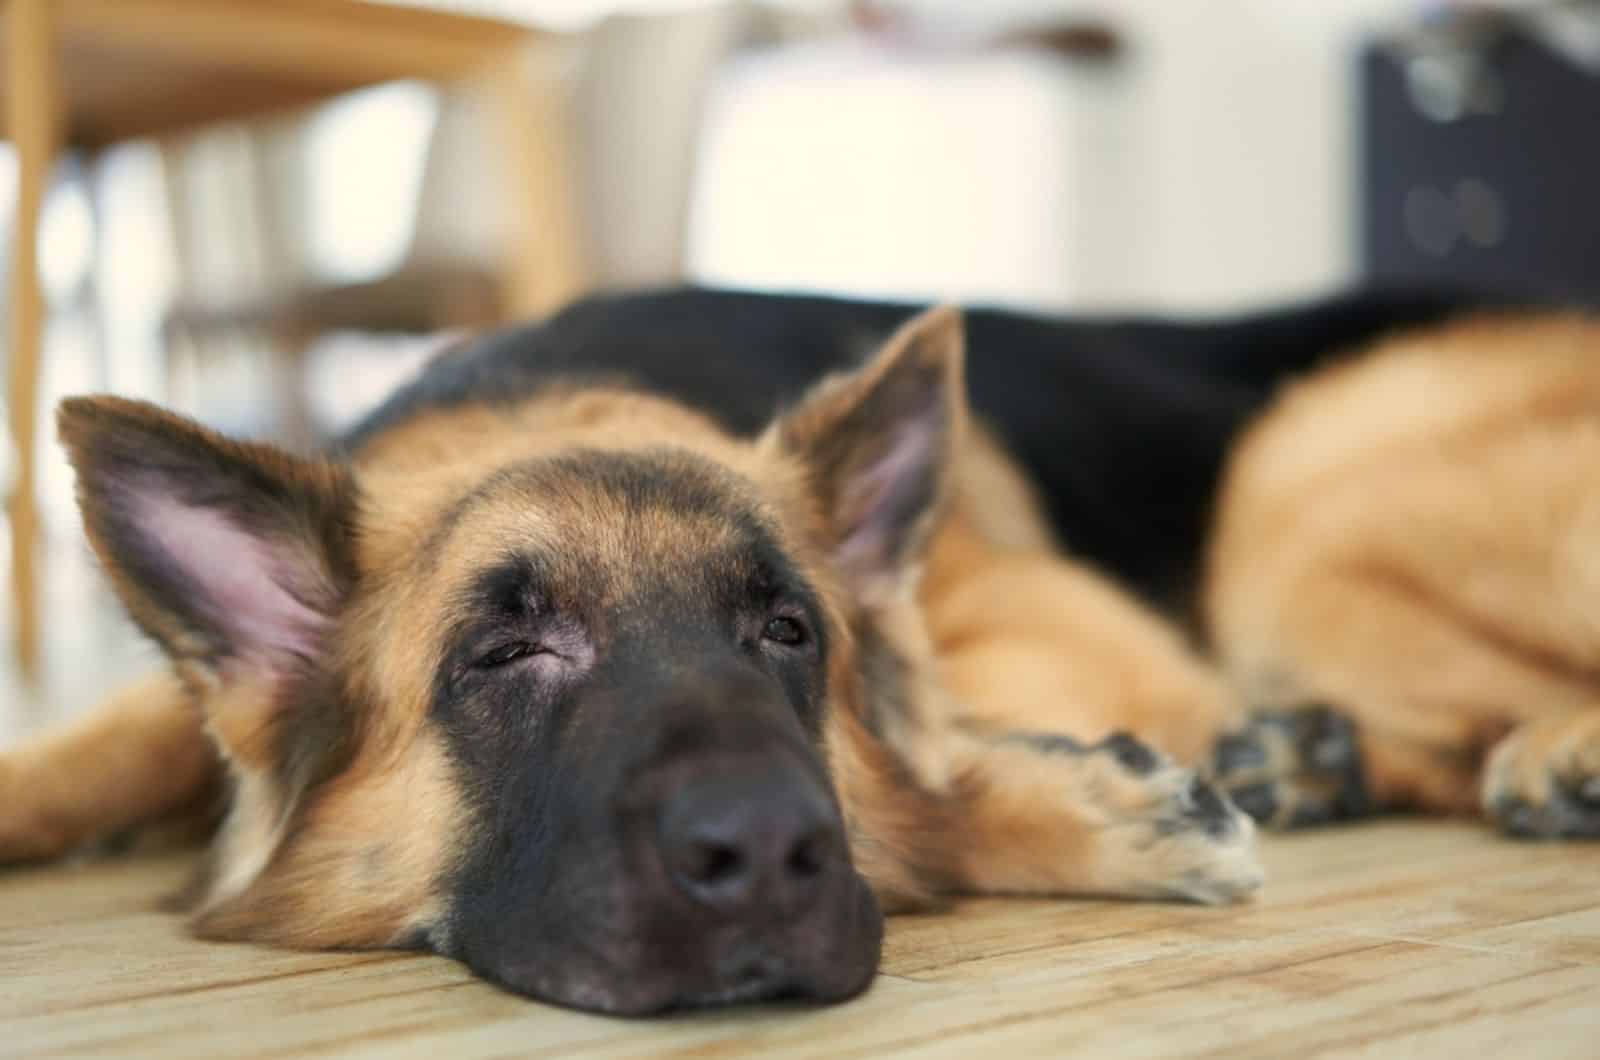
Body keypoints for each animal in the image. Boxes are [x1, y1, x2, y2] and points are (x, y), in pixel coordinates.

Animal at [3, 286, 1600, 1018]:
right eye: (504, 653)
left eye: (788, 633)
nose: (764, 853)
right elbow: (97, 746)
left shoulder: (1082, 636)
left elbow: (921, 764)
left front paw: (1085, 804)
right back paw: (1320, 756)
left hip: (1295, 497)